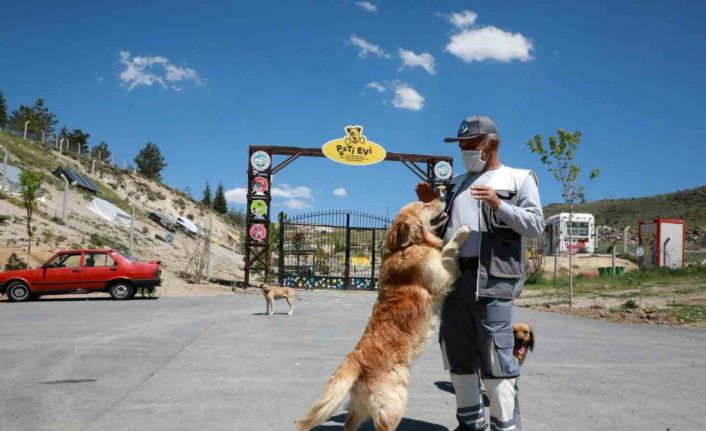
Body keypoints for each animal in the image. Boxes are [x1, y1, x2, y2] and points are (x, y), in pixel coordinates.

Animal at [294, 201, 470, 431]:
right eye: (424, 205)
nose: (441, 196)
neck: (403, 248)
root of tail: (355, 360)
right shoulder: (441, 274)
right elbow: (449, 248)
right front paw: (462, 232)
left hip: (361, 406)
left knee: (349, 424)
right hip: (393, 404)